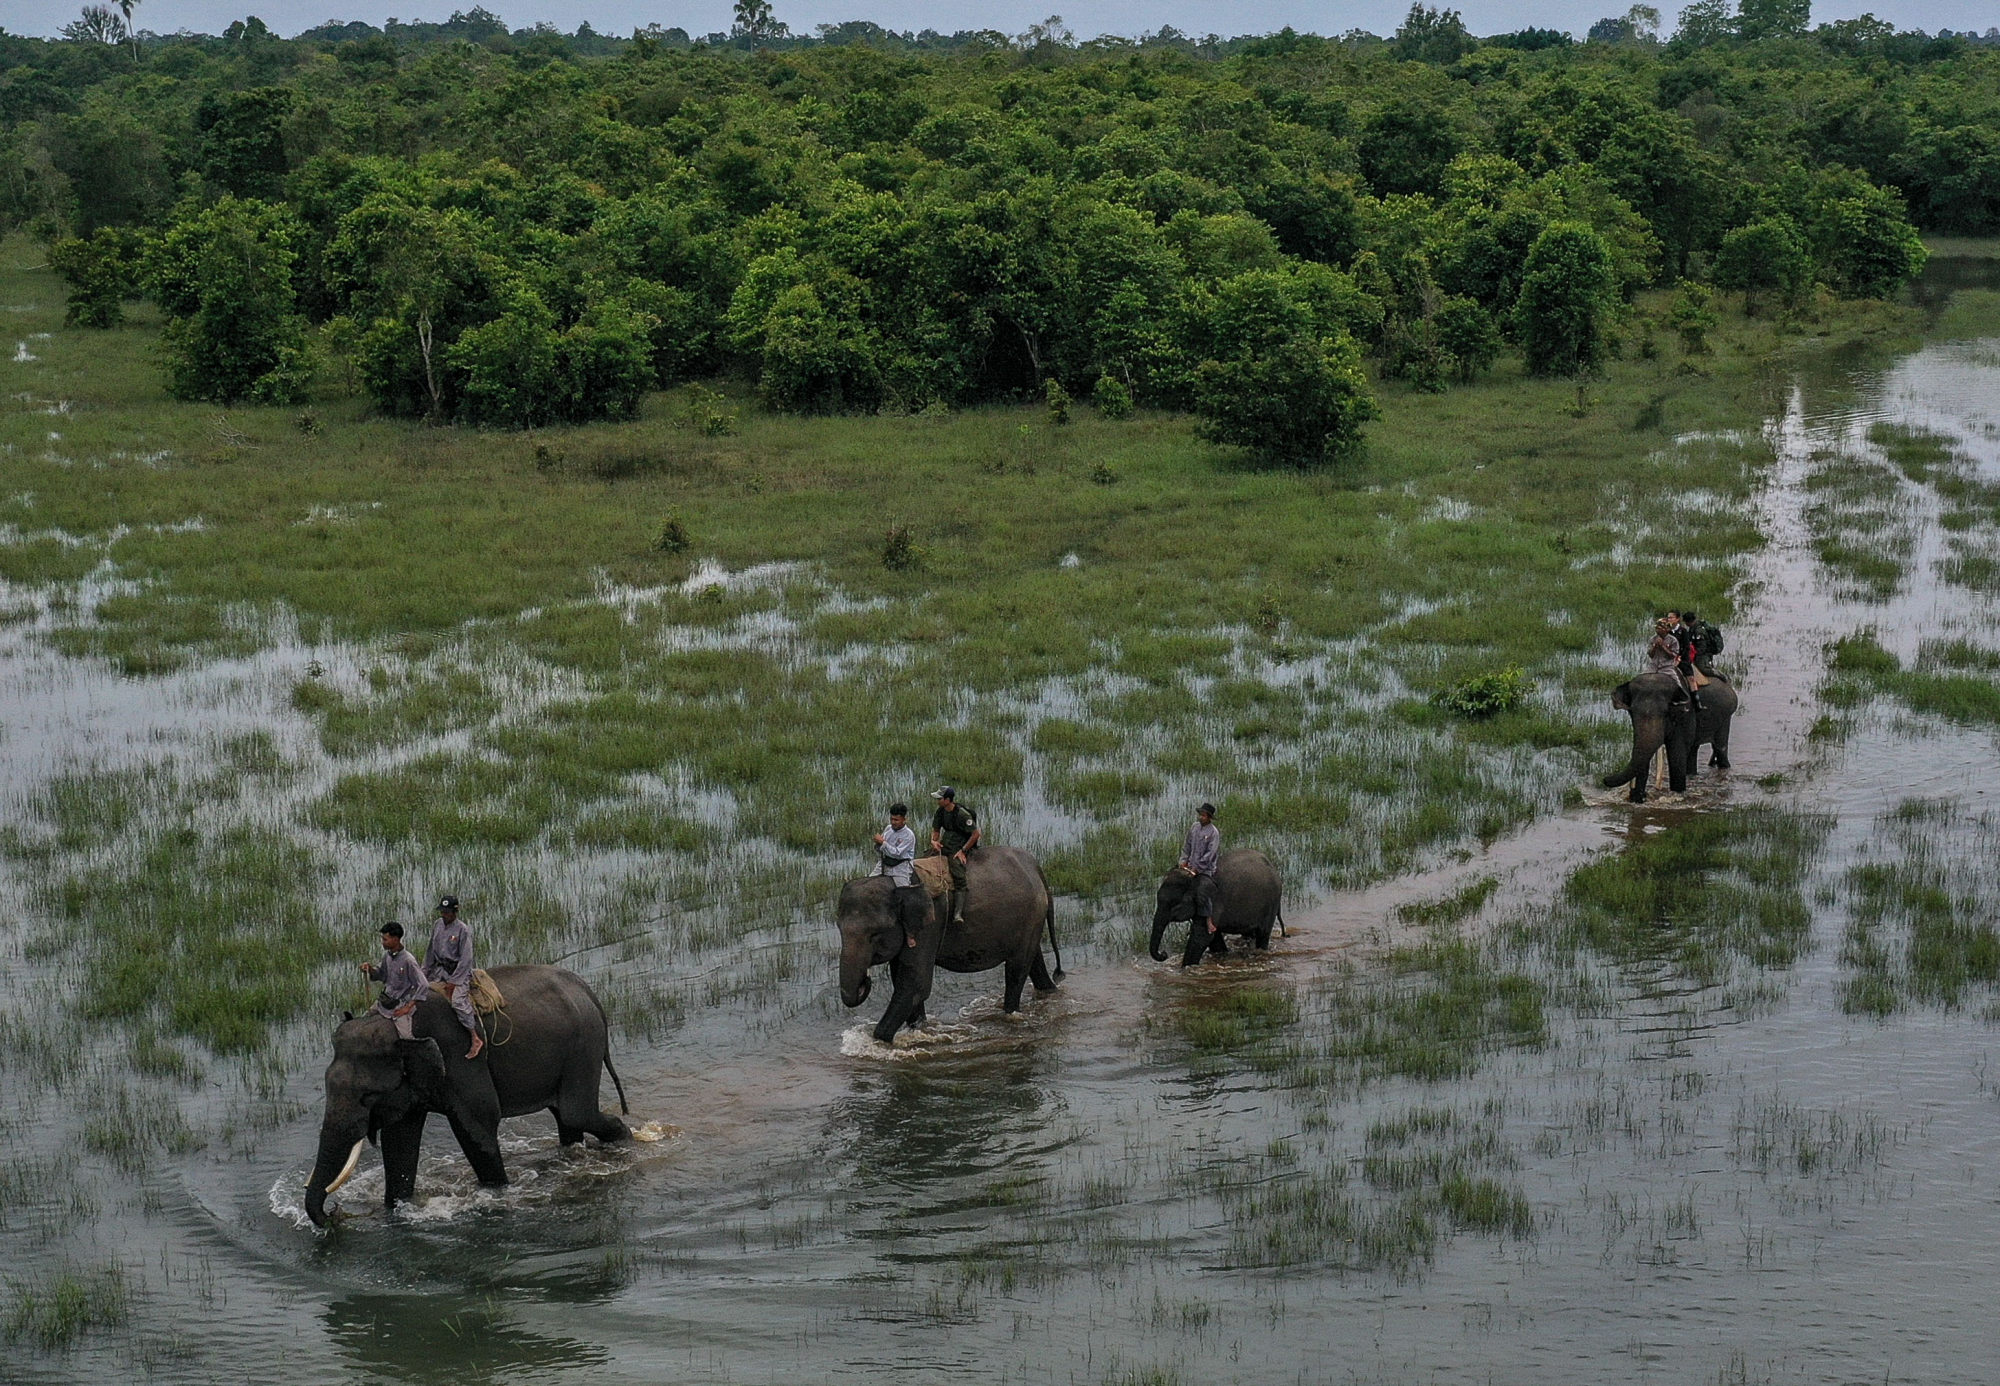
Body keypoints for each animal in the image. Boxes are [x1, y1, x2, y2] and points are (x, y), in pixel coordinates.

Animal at [304, 964, 628, 1227]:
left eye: (368, 1096)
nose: (335, 1213)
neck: (398, 1024)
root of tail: (588, 992)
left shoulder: (462, 1058)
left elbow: (476, 1127)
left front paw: (496, 1194)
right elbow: (399, 1141)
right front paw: (397, 1208)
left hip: (583, 1046)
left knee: (577, 1113)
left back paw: (625, 1139)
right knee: (567, 1118)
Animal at [837, 846, 1064, 1044]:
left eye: (874, 934)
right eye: (839, 929)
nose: (865, 980)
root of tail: (1036, 867)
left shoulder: (929, 925)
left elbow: (915, 983)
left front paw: (880, 1040)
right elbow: (903, 980)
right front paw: (918, 1029)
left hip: (1030, 913)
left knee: (1016, 970)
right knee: (1034, 962)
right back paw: (1050, 992)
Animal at [1149, 849, 1286, 967]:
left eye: (1175, 905)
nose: (1164, 954)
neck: (1194, 877)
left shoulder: (1213, 902)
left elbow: (1202, 936)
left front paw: (1186, 968)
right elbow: (1212, 936)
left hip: (1271, 902)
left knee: (1263, 933)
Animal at [1602, 670, 1738, 803]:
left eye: (1666, 712)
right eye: (1632, 711)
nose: (1604, 779)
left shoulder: (1685, 714)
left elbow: (1677, 754)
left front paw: (1677, 794)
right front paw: (1638, 800)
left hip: (1725, 717)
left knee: (1720, 748)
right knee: (1693, 750)